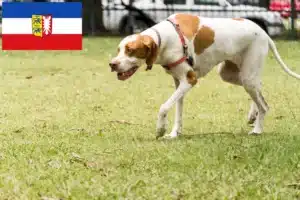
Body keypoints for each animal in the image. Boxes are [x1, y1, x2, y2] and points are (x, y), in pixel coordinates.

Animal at [109, 13, 300, 138]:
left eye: (130, 50)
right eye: (119, 50)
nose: (112, 64)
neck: (165, 38)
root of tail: (264, 33)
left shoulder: (190, 80)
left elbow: (164, 107)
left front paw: (161, 129)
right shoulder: (179, 83)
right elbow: (177, 111)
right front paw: (174, 133)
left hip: (247, 75)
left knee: (264, 105)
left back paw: (257, 130)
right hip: (232, 75)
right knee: (259, 89)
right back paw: (253, 115)